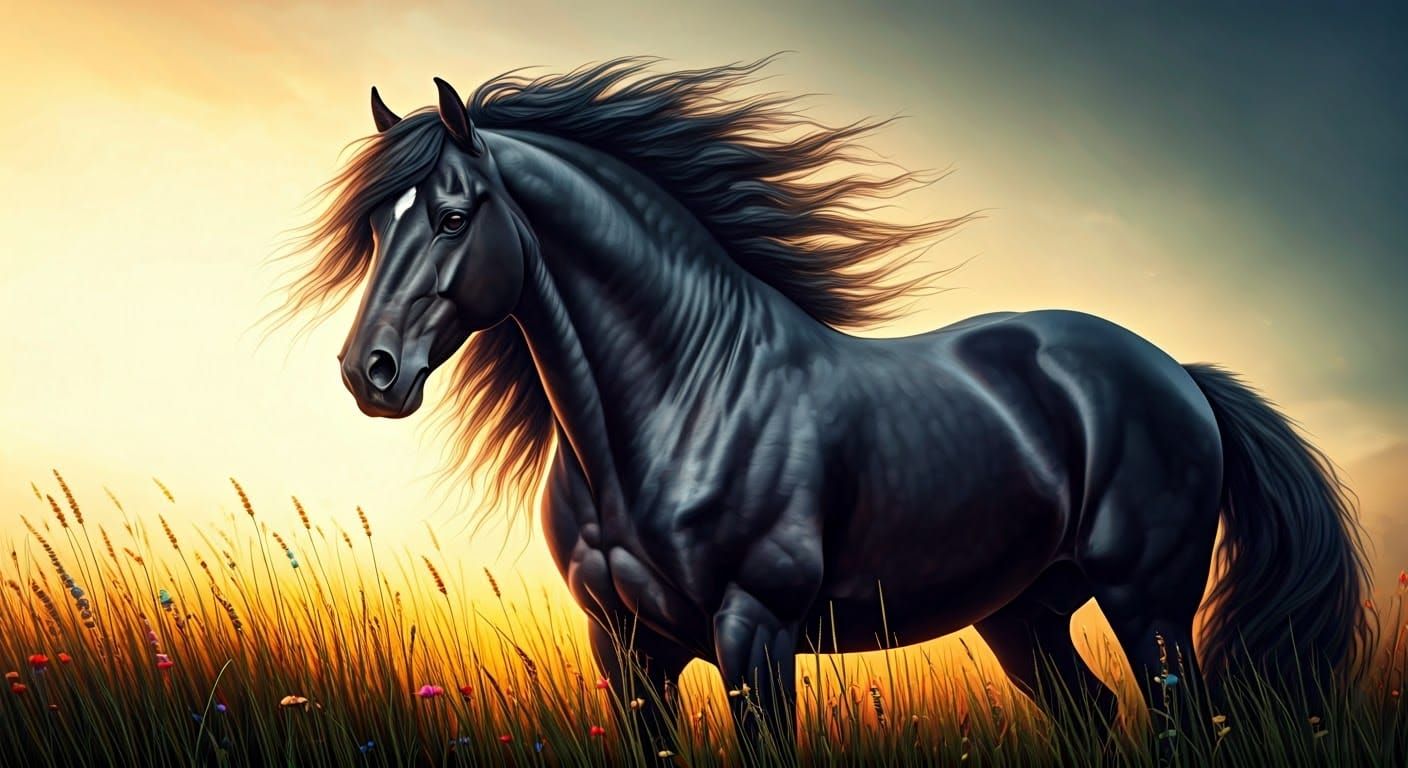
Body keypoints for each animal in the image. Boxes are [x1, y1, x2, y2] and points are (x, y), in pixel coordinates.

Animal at [282, 59, 1370, 752]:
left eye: (453, 214)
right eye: (375, 226)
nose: (369, 373)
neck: (680, 405)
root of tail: (1178, 374)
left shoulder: (754, 635)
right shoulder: (625, 652)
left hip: (1149, 608)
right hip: (1025, 617)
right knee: (1092, 717)